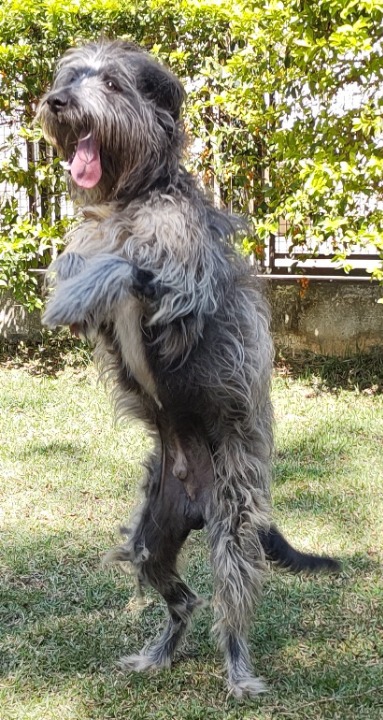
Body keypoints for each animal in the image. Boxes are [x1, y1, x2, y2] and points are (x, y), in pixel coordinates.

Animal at [37, 39, 340, 696]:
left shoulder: (181, 302)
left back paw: (239, 674)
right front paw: (70, 280)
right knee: (185, 602)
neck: (131, 198)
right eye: (70, 75)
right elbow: (86, 262)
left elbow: (125, 267)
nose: (57, 102)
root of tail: (197, 505)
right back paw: (159, 653)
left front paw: (75, 292)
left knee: (230, 609)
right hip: (151, 539)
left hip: (234, 533)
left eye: (112, 82)